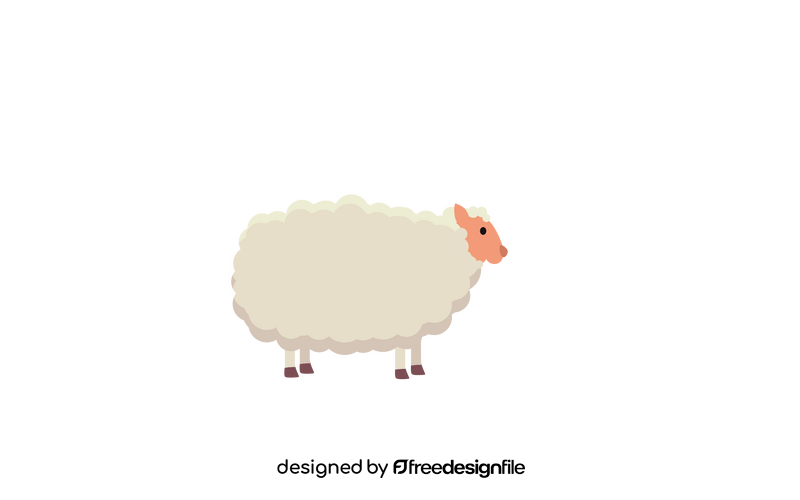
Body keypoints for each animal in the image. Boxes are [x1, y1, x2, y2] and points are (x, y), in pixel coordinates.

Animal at [228, 193, 509, 382]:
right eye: (482, 230)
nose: (505, 252)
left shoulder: (419, 317)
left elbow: (417, 344)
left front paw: (418, 370)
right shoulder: (404, 316)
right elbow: (402, 347)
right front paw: (401, 373)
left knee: (302, 344)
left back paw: (307, 368)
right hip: (284, 315)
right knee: (288, 346)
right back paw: (291, 372)